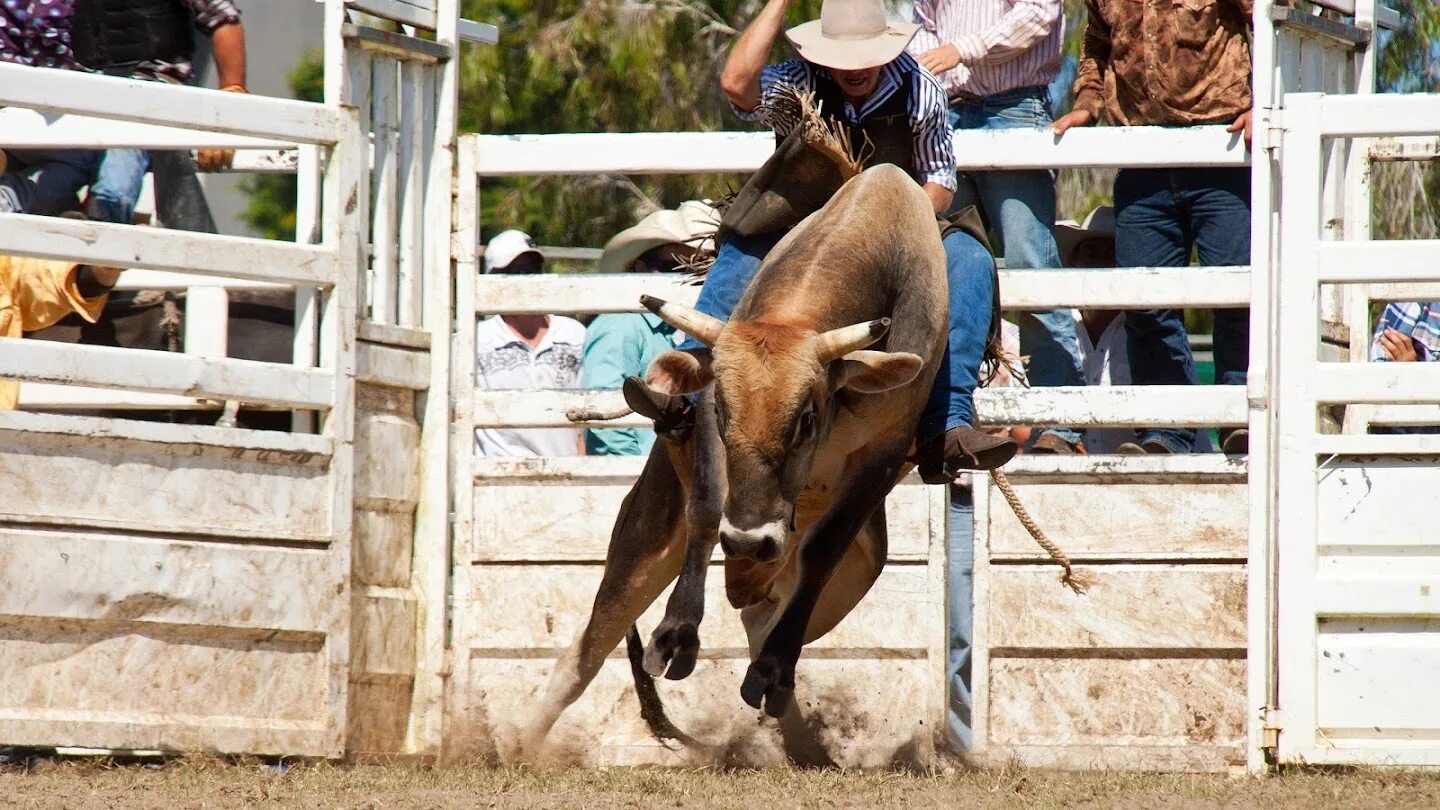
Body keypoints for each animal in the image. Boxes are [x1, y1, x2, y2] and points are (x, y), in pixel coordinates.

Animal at [524, 162, 950, 755]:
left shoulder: (885, 452)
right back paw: (512, 744)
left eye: (807, 417)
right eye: (726, 409)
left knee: (765, 622)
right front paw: (677, 635)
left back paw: (800, 737)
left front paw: (773, 672)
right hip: (643, 537)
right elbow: (706, 509)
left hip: (851, 575)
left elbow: (823, 549)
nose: (749, 542)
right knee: (588, 649)